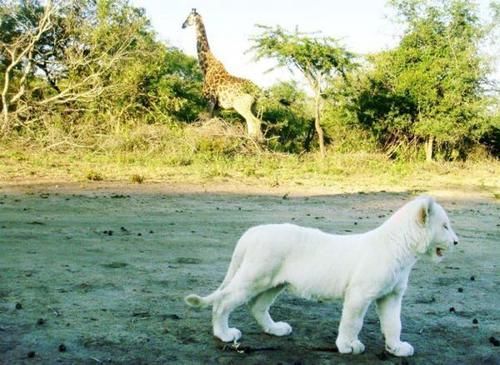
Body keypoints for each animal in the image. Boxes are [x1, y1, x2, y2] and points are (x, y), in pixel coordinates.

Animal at [182, 8, 264, 140]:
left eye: (188, 17)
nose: (182, 25)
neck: (206, 67)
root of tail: (256, 90)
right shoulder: (217, 107)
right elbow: (212, 120)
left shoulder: (210, 100)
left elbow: (206, 120)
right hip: (253, 106)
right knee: (253, 122)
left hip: (241, 105)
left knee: (254, 121)